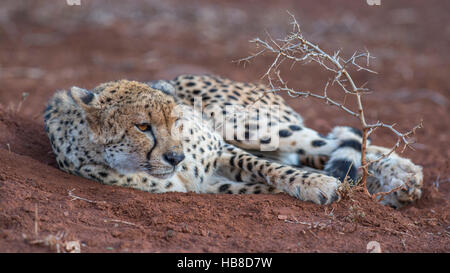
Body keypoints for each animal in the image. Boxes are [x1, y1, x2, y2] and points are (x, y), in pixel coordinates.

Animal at [44, 73, 424, 207]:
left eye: (176, 121)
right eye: (142, 127)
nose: (176, 158)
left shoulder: (220, 148)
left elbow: (266, 168)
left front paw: (316, 185)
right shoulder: (206, 185)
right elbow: (262, 185)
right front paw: (320, 185)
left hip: (245, 123)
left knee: (330, 141)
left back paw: (404, 175)